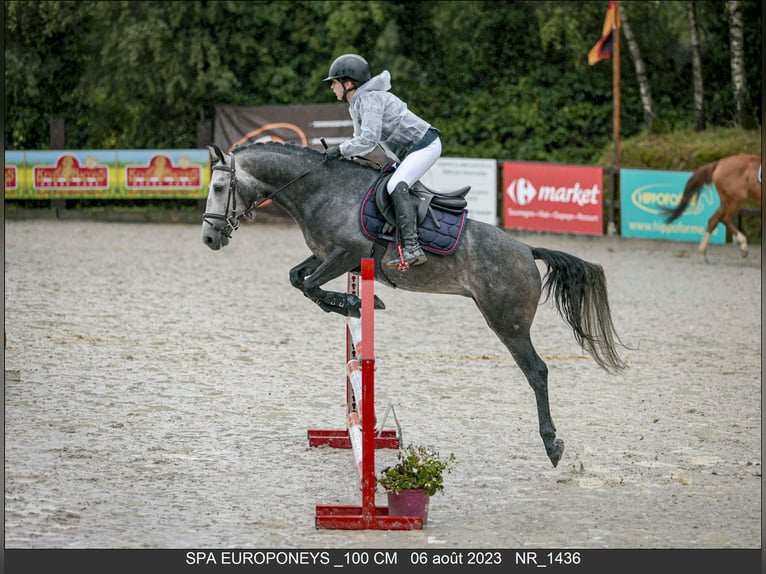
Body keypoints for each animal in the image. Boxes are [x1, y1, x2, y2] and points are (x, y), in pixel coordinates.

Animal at [204, 142, 632, 470]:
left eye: (220, 186)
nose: (209, 238)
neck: (318, 189)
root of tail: (527, 249)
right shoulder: (327, 256)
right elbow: (299, 279)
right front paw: (352, 304)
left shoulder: (348, 254)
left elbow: (309, 284)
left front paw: (359, 301)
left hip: (506, 322)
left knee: (537, 372)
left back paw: (552, 445)